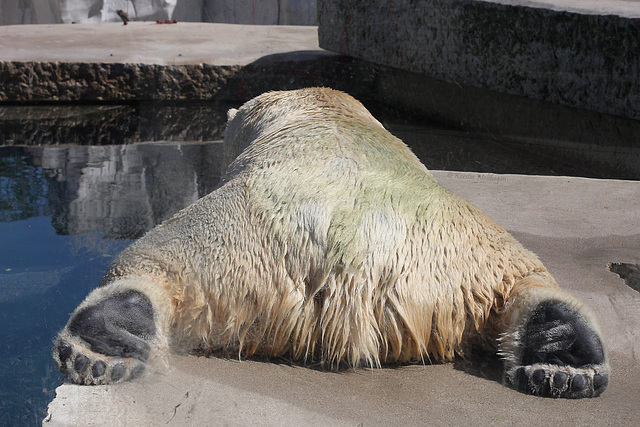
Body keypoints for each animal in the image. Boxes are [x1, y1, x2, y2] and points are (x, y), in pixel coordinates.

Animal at [55, 87, 608, 398]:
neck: (324, 112)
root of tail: (358, 267)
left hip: (230, 243)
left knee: (151, 261)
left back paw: (100, 343)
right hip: (471, 257)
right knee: (527, 284)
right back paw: (565, 360)